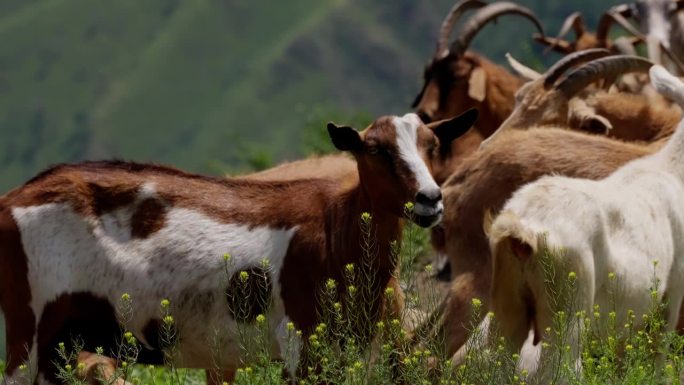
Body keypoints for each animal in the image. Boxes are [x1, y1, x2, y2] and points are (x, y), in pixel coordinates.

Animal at [0, 109, 478, 382]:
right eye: (376, 150)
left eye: (433, 145)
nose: (430, 199)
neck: (336, 226)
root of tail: (14, 199)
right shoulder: (301, 344)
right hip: (28, 327)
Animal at [486, 64, 684, 376]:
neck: (671, 169)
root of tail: (523, 230)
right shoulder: (673, 292)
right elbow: (657, 359)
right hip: (569, 307)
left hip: (507, 305)